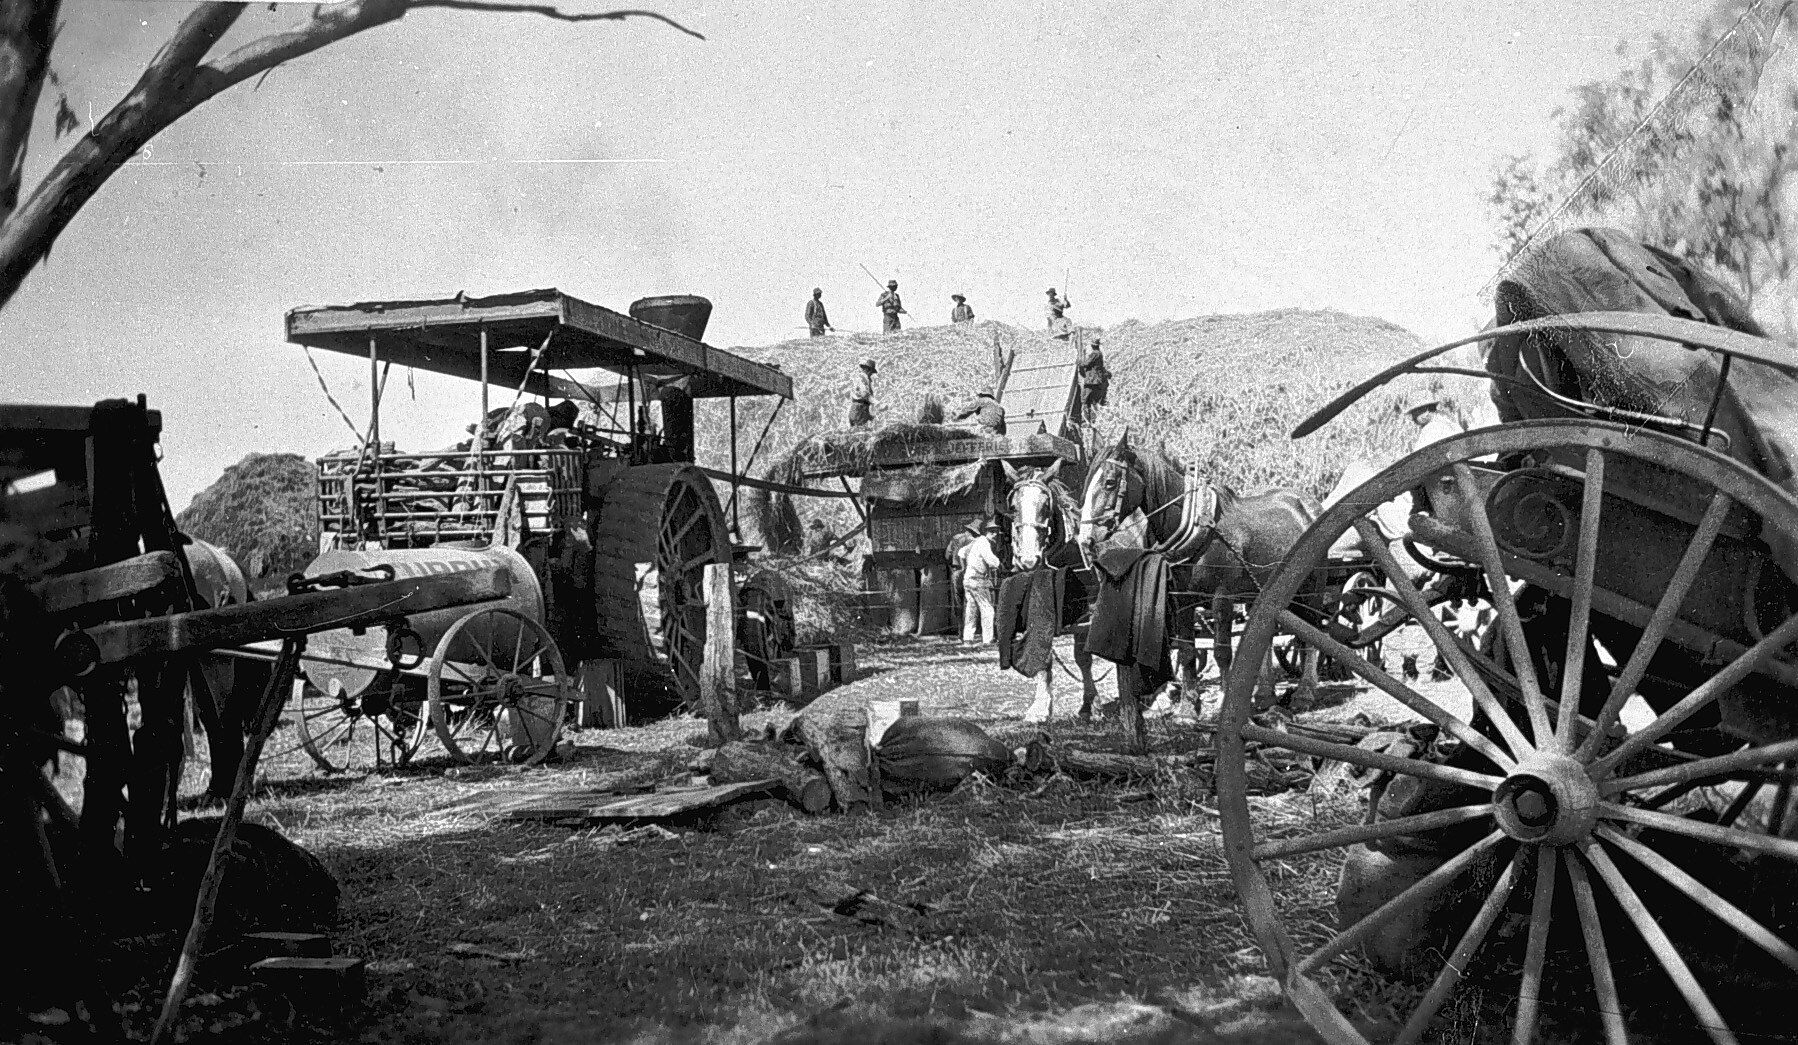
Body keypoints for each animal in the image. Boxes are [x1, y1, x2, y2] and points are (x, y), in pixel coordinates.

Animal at [1001, 460, 1100, 720]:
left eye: (1046, 506)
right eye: (1013, 506)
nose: (1028, 560)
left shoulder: (1086, 615)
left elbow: (1083, 657)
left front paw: (1090, 703)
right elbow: (1043, 655)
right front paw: (1040, 707)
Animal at [1077, 431, 1324, 715]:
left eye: (1109, 482)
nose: (1085, 539)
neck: (1198, 525)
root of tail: (1308, 505)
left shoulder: (1223, 598)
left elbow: (1222, 653)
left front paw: (1222, 701)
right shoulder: (1182, 599)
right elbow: (1186, 651)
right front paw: (1187, 707)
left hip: (1312, 590)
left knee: (1313, 633)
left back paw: (1305, 692)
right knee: (1266, 635)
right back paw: (1264, 695)